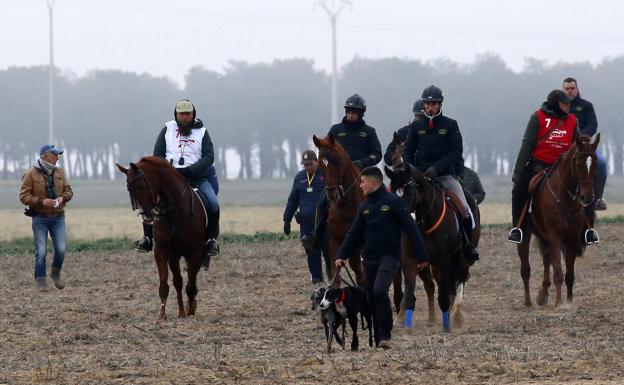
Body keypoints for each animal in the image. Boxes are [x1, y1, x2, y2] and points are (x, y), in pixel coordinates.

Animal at [118, 154, 211, 320]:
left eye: (141, 186)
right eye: (129, 189)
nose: (146, 215)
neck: (177, 212)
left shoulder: (193, 252)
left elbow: (190, 285)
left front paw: (190, 311)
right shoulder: (163, 251)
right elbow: (166, 284)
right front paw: (163, 315)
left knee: (191, 281)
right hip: (174, 257)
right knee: (178, 281)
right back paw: (181, 311)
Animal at [516, 134, 600, 308]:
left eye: (595, 164)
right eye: (578, 164)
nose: (587, 197)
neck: (564, 196)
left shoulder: (571, 239)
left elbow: (569, 274)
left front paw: (569, 301)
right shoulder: (555, 237)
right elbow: (559, 273)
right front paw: (560, 302)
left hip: (544, 236)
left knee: (546, 260)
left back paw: (543, 294)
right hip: (526, 235)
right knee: (525, 268)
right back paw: (528, 301)